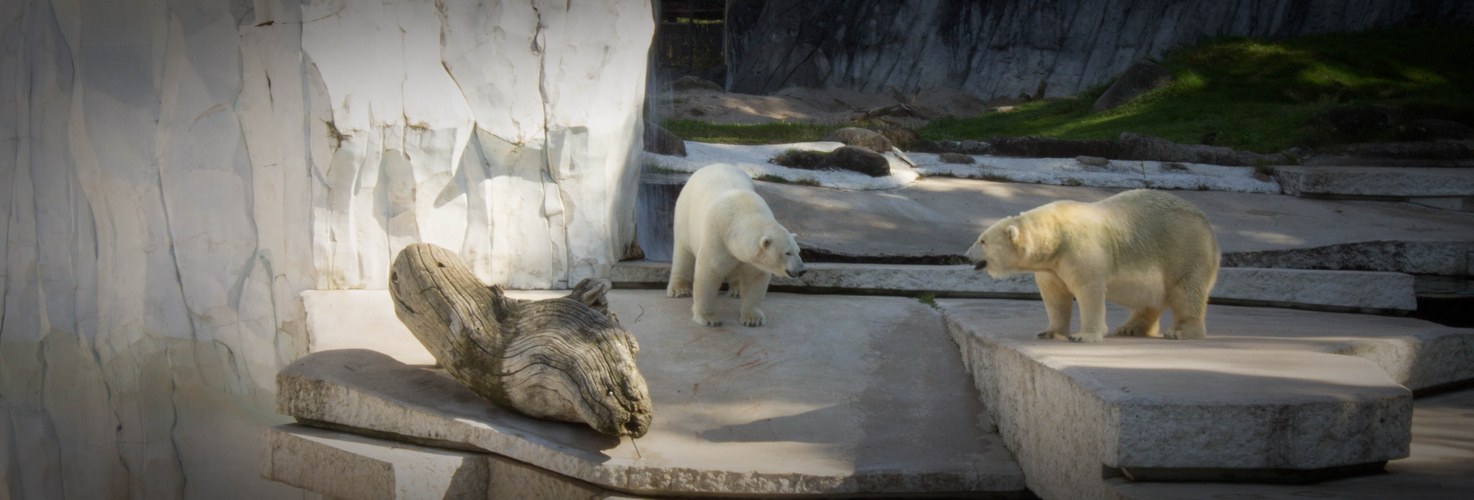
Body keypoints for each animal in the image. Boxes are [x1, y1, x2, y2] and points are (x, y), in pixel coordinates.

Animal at [669, 164, 807, 327]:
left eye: (798, 251)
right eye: (787, 253)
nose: (802, 270)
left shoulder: (751, 257)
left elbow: (755, 278)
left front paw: (752, 318)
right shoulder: (717, 236)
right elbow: (709, 272)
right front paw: (709, 318)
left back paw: (737, 290)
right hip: (685, 217)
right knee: (683, 253)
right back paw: (679, 290)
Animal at [966, 190, 1220, 342]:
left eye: (982, 240)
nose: (967, 256)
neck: (1055, 234)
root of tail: (1208, 225)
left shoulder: (1080, 249)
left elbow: (1088, 289)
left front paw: (1083, 336)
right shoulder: (1052, 266)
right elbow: (1055, 295)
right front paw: (1048, 331)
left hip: (1185, 250)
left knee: (1187, 291)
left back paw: (1180, 331)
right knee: (1149, 299)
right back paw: (1130, 328)